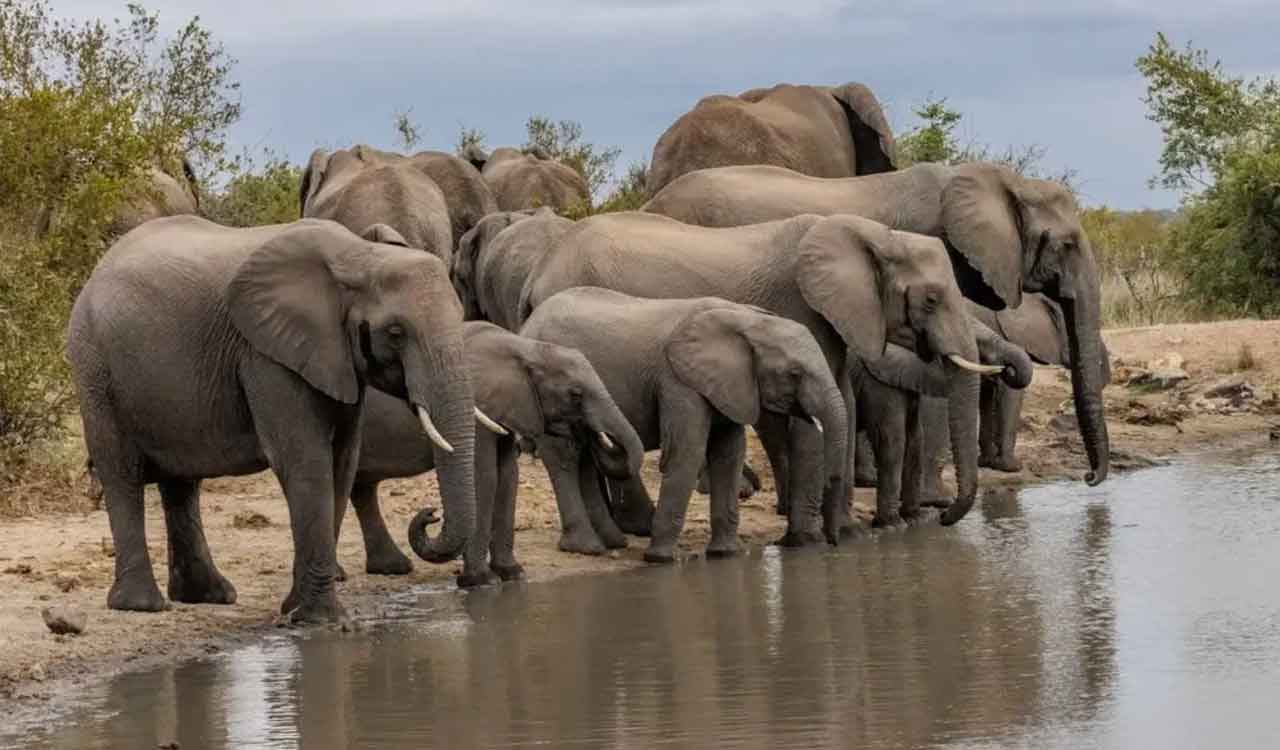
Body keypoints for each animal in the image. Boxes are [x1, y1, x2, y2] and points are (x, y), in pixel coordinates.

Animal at [67, 217, 479, 623]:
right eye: (395, 332)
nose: (430, 513)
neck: (358, 255)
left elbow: (342, 462)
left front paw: (294, 610)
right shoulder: (266, 354)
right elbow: (305, 460)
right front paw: (323, 621)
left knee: (181, 484)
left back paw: (210, 596)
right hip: (96, 371)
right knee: (121, 473)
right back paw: (141, 605)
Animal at [343, 321, 642, 587]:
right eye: (576, 394)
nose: (431, 514)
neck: (525, 349)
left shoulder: (510, 408)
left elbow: (508, 476)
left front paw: (513, 574)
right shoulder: (481, 405)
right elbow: (484, 476)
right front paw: (481, 581)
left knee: (361, 487)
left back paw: (391, 568)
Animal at [520, 287, 849, 561]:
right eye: (795, 373)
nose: (832, 542)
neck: (745, 319)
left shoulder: (727, 385)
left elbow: (728, 454)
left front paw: (725, 554)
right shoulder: (678, 381)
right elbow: (687, 452)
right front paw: (661, 559)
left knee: (586, 459)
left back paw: (612, 543)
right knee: (565, 457)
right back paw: (587, 547)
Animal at [851, 316, 1034, 527]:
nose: (944, 517)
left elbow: (915, 439)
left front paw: (918, 517)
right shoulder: (878, 382)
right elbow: (892, 439)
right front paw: (900, 522)